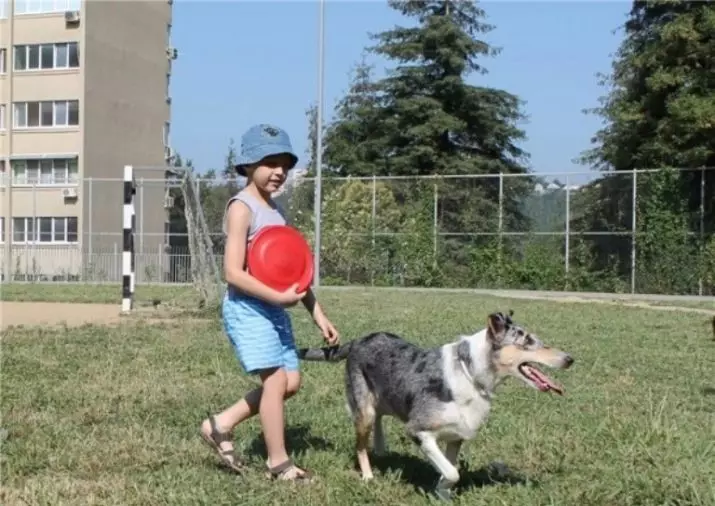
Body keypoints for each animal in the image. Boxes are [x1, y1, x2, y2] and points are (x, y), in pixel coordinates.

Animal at [296, 310, 576, 500]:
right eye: (527, 342)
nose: (570, 359)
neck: (469, 372)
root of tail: (358, 341)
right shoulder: (418, 431)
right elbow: (453, 473)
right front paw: (440, 489)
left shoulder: (456, 437)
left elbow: (450, 470)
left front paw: (442, 494)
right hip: (363, 409)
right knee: (360, 445)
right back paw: (368, 476)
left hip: (384, 399)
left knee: (380, 418)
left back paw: (381, 447)